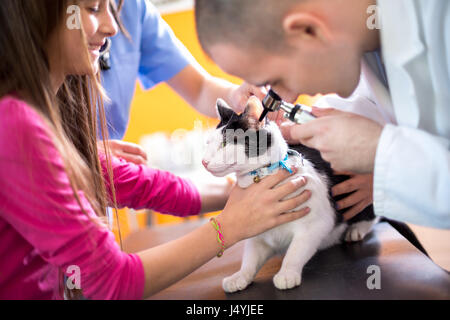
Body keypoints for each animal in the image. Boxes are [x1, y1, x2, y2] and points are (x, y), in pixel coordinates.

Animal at [202, 95, 428, 292]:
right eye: (207, 143)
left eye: (224, 143)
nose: (203, 161)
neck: (262, 177)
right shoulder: (257, 236)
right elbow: (250, 259)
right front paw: (239, 276)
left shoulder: (316, 224)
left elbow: (296, 250)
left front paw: (287, 273)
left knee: (373, 215)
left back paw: (355, 230)